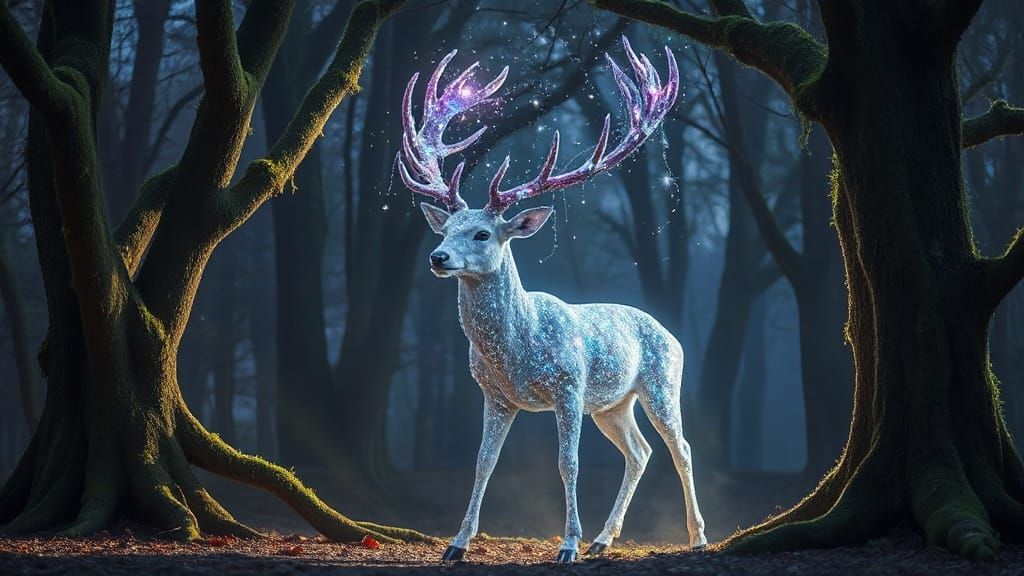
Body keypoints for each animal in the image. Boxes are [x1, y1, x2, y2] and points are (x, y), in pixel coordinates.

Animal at [397, 36, 706, 563]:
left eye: (482, 233)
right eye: (446, 228)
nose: (438, 257)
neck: (516, 353)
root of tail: (671, 332)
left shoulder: (569, 386)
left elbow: (569, 463)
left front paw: (567, 546)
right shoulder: (494, 395)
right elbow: (482, 463)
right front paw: (456, 544)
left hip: (662, 381)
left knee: (680, 448)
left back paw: (697, 536)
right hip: (611, 404)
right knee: (639, 452)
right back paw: (605, 538)